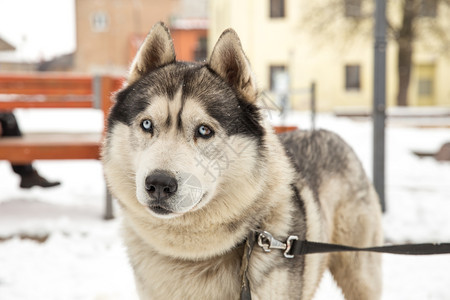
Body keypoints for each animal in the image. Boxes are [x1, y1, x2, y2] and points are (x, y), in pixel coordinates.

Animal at [103, 22, 384, 298]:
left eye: (204, 130)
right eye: (147, 124)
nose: (159, 183)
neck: (192, 256)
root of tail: (325, 132)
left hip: (359, 275)